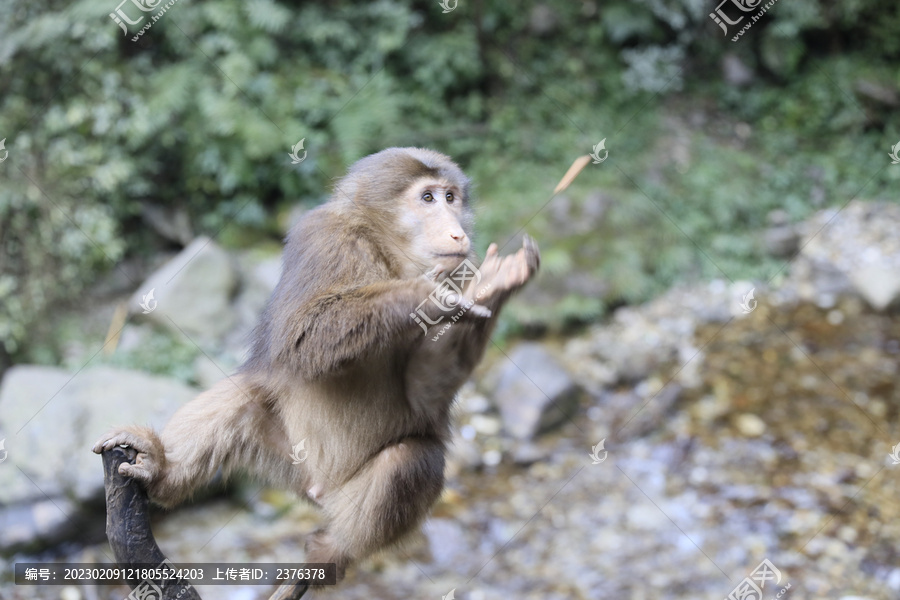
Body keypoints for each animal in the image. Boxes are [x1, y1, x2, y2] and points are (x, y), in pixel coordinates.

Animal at [92, 149, 540, 584]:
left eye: (451, 197)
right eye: (428, 198)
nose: (457, 231)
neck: (382, 250)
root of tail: (319, 488)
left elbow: (423, 391)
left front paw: (495, 285)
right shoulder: (323, 238)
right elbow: (301, 335)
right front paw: (422, 295)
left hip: (342, 494)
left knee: (410, 458)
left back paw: (334, 550)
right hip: (288, 460)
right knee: (245, 393)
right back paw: (162, 474)